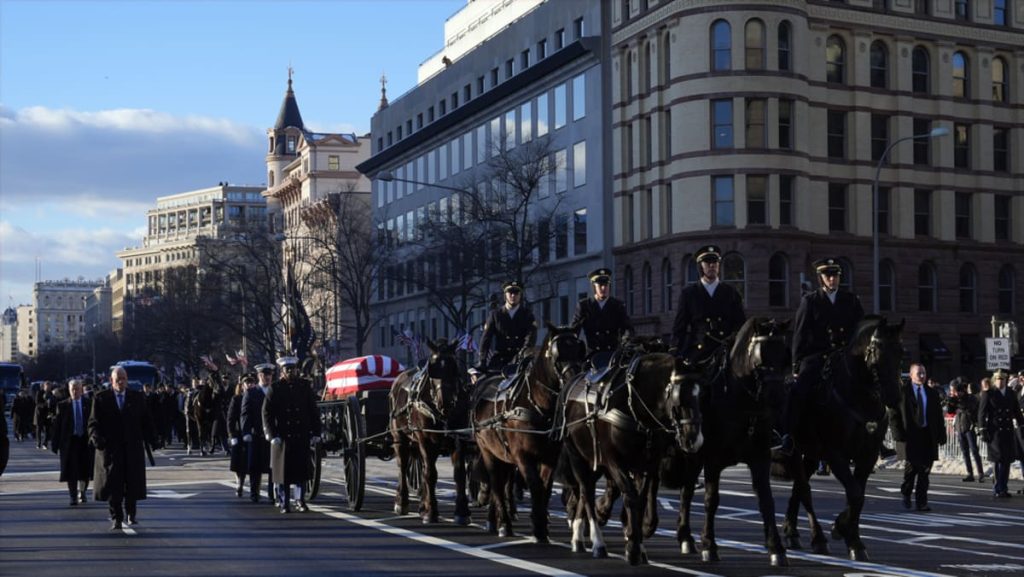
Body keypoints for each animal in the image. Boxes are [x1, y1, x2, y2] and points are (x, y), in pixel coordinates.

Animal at [387, 338, 471, 524]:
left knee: (423, 467)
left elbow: (459, 474)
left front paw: (462, 512)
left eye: (454, 367)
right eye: (433, 369)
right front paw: (431, 512)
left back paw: (422, 505)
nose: (445, 402)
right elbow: (431, 474)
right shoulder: (425, 438)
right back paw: (402, 502)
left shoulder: (458, 437)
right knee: (403, 466)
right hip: (401, 438)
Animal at [471, 323, 585, 545]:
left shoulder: (550, 457)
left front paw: (541, 524)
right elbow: (535, 487)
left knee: (502, 484)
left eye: (579, 350)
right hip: (488, 452)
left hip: (504, 456)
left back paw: (494, 519)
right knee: (496, 484)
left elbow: (545, 489)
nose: (574, 381)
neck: (538, 406)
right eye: (557, 354)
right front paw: (538, 527)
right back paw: (504, 524)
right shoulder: (523, 457)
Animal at [561, 336, 704, 565]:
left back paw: (579, 534)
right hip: (577, 457)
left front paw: (636, 543)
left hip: (593, 462)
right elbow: (631, 497)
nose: (694, 440)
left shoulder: (648, 463)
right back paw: (596, 542)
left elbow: (642, 498)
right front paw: (634, 547)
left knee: (585, 492)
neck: (635, 406)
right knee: (586, 492)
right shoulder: (614, 461)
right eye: (678, 397)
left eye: (701, 395)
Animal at [774, 313, 905, 561]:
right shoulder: (835, 454)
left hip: (811, 453)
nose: (894, 396)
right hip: (795, 450)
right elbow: (854, 494)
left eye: (901, 351)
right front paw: (842, 531)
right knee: (804, 490)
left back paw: (791, 531)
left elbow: (858, 495)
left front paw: (851, 537)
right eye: (878, 349)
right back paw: (817, 538)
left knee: (799, 487)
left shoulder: (867, 456)